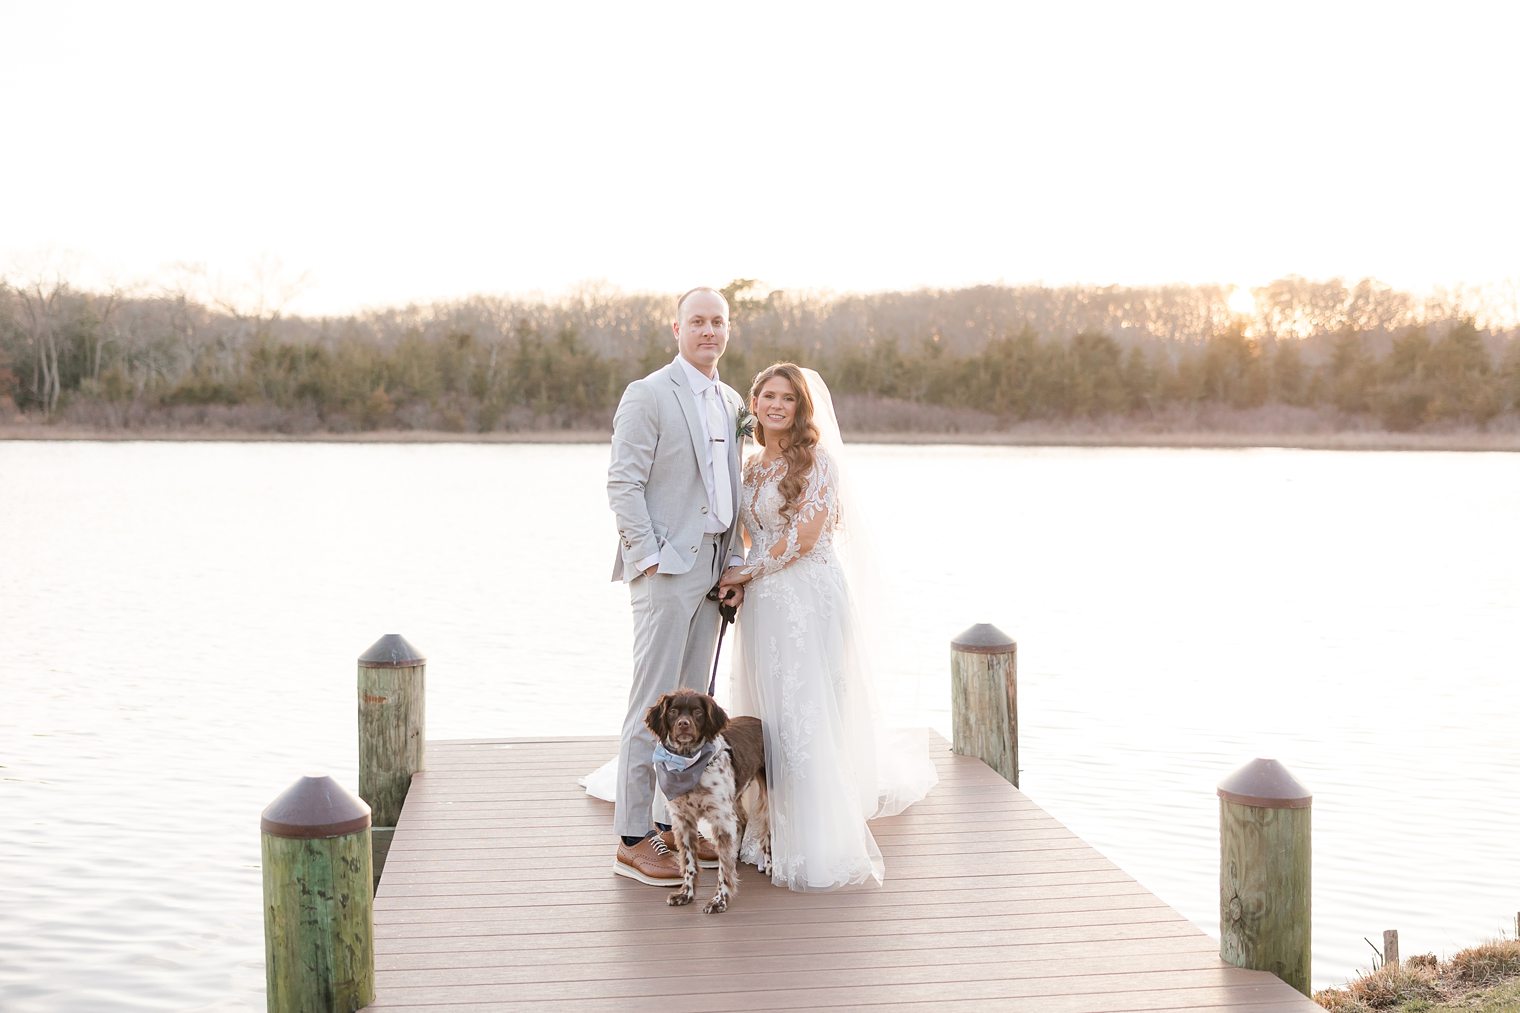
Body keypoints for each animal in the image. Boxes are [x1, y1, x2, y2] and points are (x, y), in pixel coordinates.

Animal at [641, 687, 766, 906]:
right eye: (673, 711)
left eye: (698, 712)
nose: (683, 724)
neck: (688, 763)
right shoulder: (683, 819)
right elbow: (689, 862)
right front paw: (686, 894)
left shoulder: (721, 818)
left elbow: (723, 868)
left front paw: (719, 900)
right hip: (734, 799)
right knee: (742, 820)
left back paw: (769, 866)